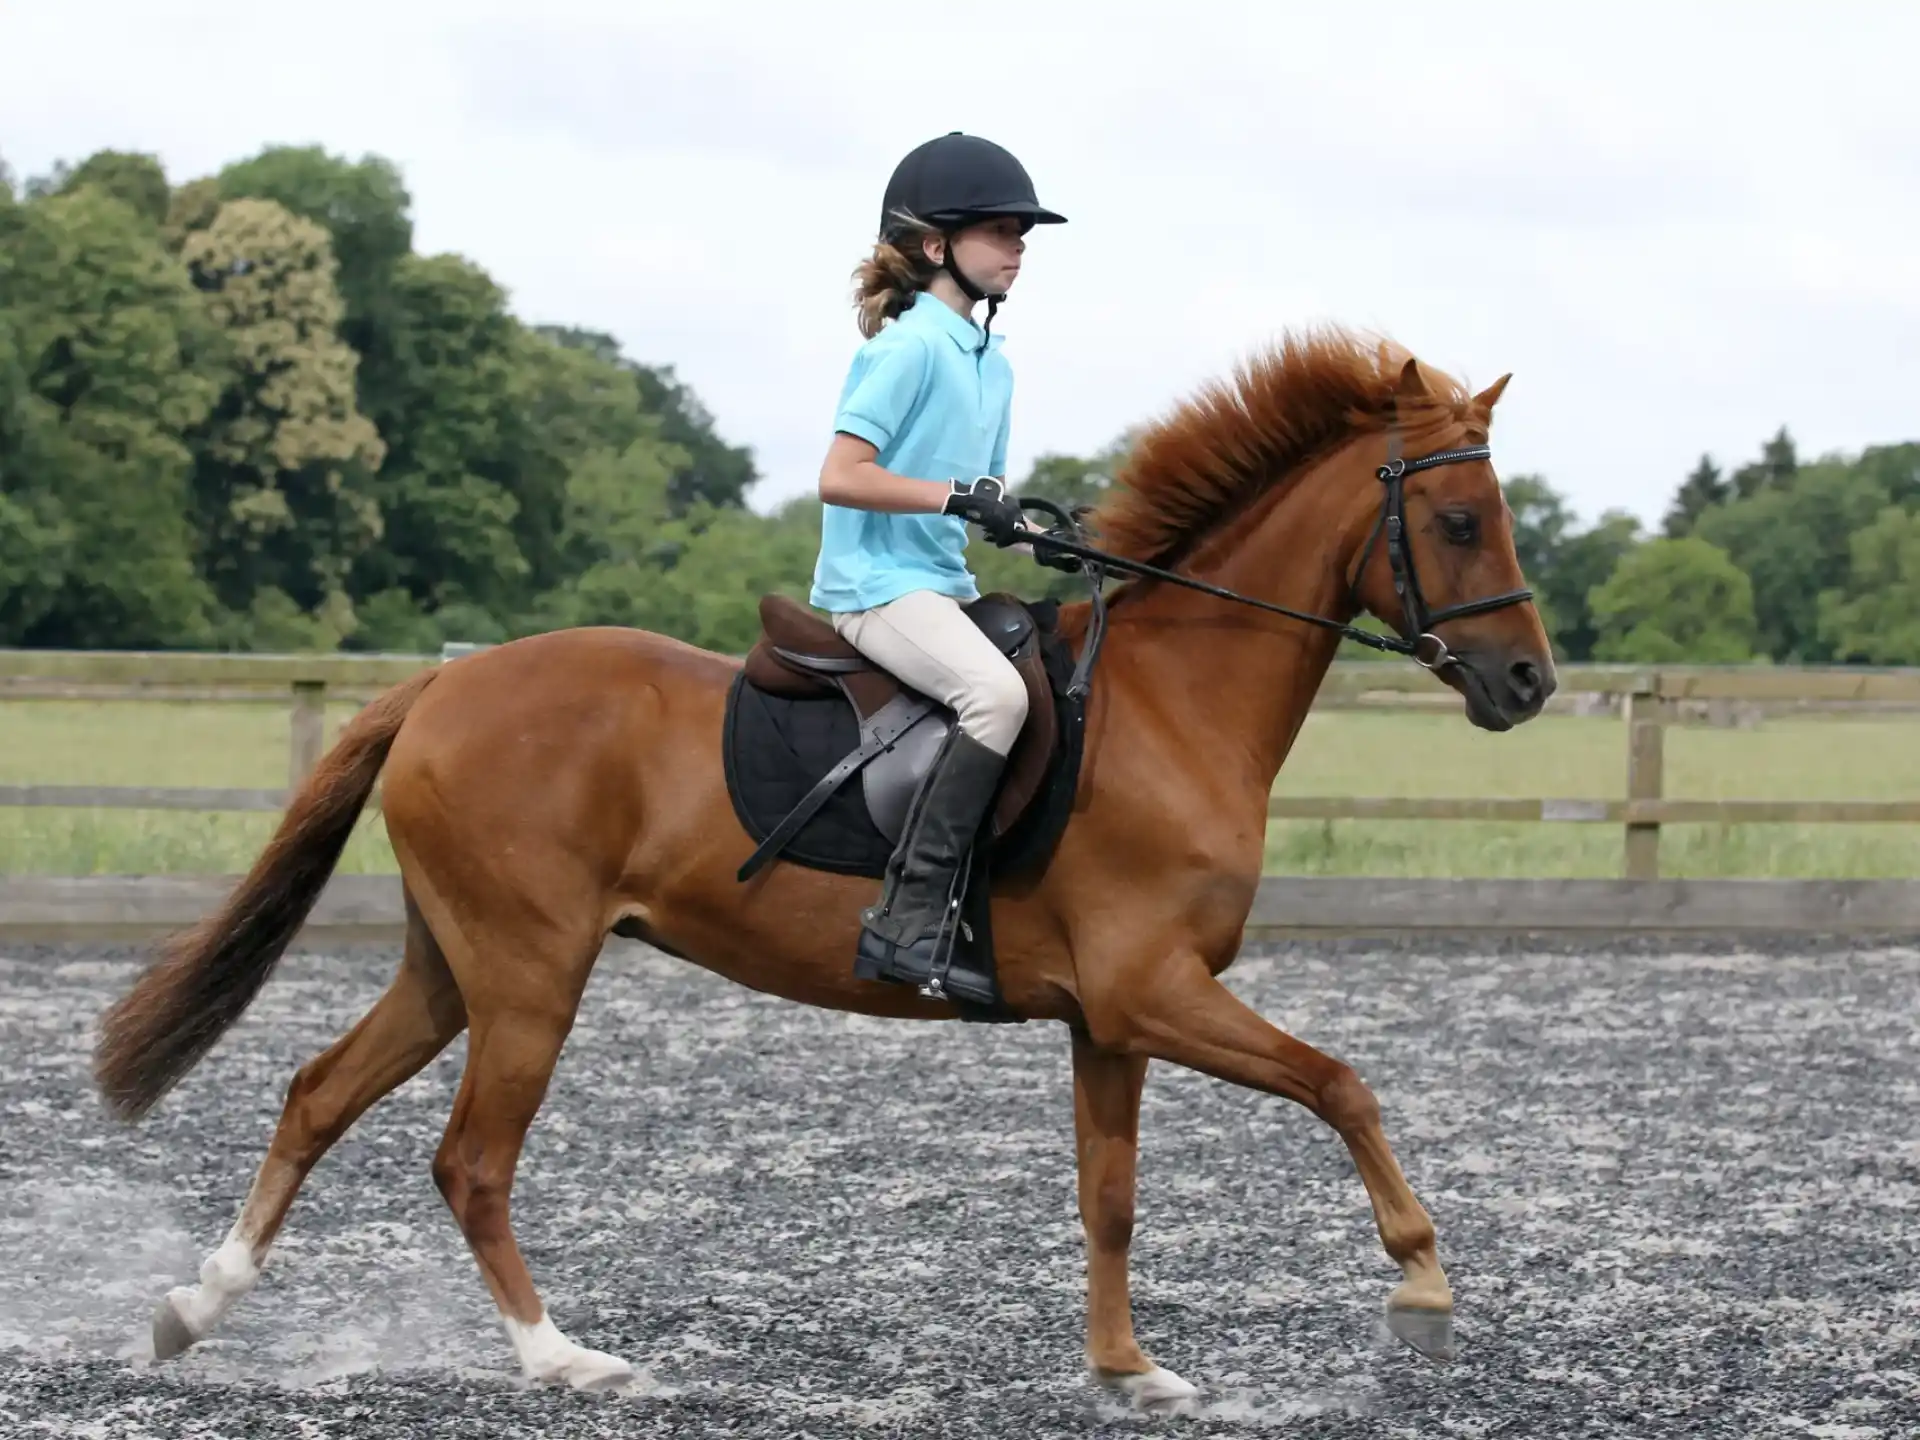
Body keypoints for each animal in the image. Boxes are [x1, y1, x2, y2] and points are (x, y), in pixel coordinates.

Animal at [90, 325, 1555, 1412]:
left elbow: (1112, 1199)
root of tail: (443, 688)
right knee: (470, 1160)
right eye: (1458, 520)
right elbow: (1341, 1083)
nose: (1529, 684)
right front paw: (1423, 1289)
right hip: (528, 975)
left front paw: (1128, 1369)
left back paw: (192, 1308)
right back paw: (561, 1357)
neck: (1172, 704)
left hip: (454, 965)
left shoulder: (1112, 1018)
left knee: (317, 1095)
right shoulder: (1155, 990)